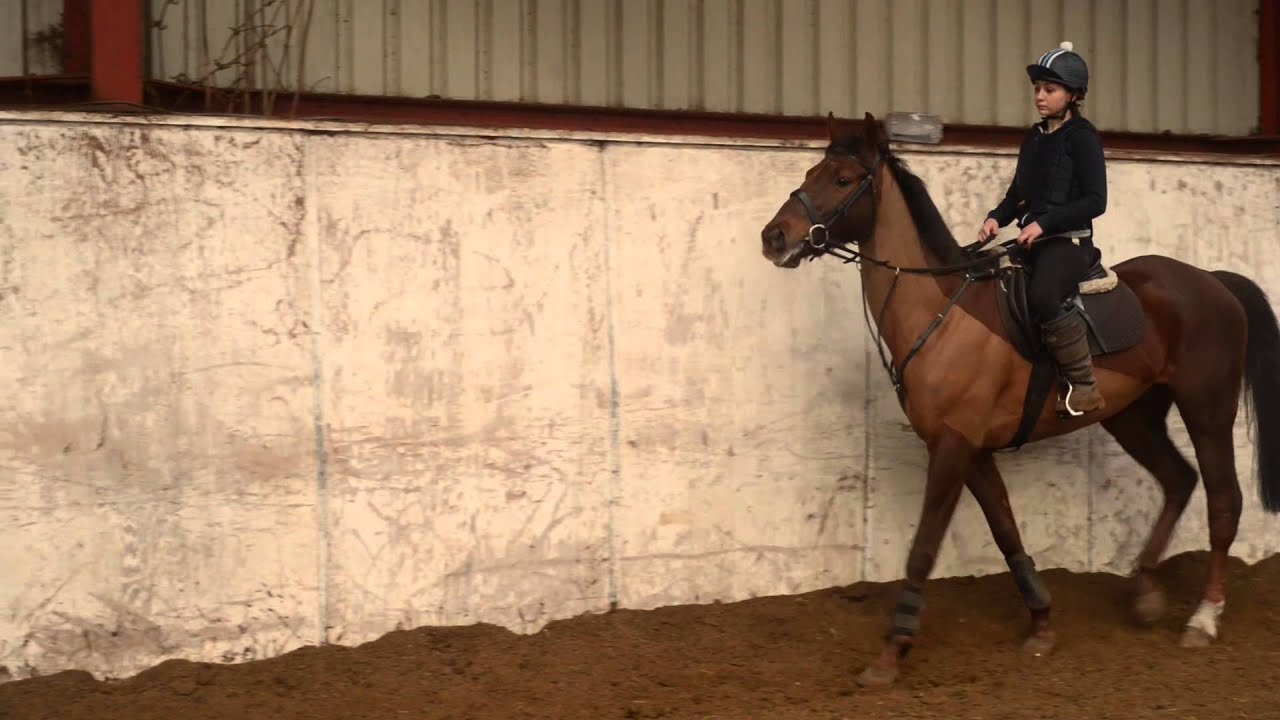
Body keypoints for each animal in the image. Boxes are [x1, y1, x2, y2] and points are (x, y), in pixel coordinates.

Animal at [759, 112, 1280, 687]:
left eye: (844, 180)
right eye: (811, 171)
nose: (774, 237)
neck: (940, 314)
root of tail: (1213, 281)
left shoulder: (953, 447)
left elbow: (923, 548)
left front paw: (891, 653)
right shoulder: (972, 450)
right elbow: (1007, 533)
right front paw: (1043, 625)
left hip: (1207, 409)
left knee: (1222, 501)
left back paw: (1203, 618)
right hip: (1133, 417)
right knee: (1178, 480)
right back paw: (1145, 592)